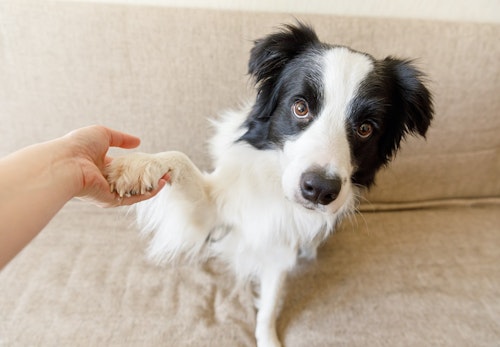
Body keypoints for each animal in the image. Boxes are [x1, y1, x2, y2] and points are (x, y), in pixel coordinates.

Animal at [106, 23, 434, 347]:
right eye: (300, 108)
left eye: (366, 128)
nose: (319, 189)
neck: (276, 189)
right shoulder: (212, 210)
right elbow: (179, 160)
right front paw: (136, 166)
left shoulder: (282, 244)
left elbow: (270, 303)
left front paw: (267, 336)